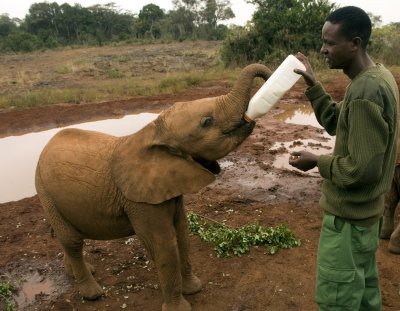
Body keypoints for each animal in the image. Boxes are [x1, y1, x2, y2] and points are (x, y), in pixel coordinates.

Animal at [35, 64, 272, 311]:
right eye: (207, 121)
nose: (274, 75)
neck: (154, 132)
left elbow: (182, 232)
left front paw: (194, 288)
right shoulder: (139, 200)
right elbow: (164, 245)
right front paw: (181, 308)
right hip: (44, 189)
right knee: (71, 240)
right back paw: (93, 294)